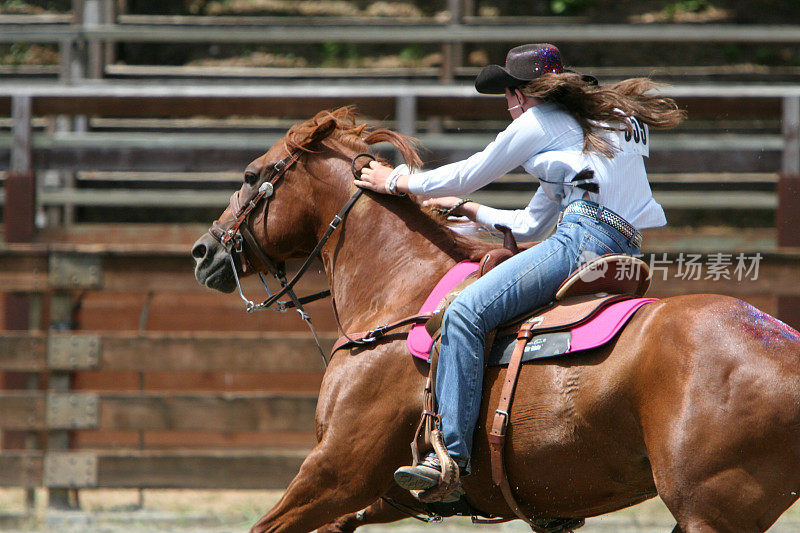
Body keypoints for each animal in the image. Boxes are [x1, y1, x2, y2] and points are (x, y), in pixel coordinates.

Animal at [192, 108, 800, 532]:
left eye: (251, 173)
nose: (202, 252)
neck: (397, 293)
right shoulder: (375, 496)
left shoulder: (338, 470)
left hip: (710, 511)